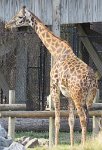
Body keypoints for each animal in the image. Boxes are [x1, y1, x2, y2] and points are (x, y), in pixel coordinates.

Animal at [5, 6, 97, 146]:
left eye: (20, 17)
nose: (6, 24)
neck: (57, 51)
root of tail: (91, 80)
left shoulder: (54, 86)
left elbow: (57, 119)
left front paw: (56, 144)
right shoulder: (68, 94)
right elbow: (70, 120)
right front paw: (71, 146)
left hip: (78, 97)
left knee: (83, 119)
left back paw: (83, 144)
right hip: (89, 98)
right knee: (87, 118)